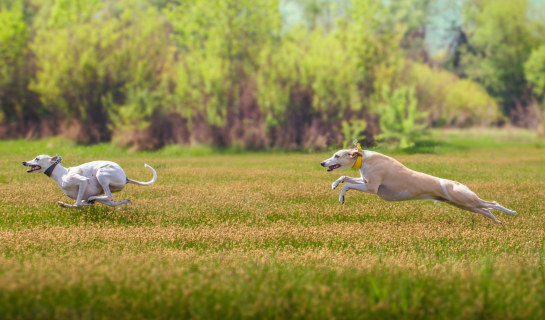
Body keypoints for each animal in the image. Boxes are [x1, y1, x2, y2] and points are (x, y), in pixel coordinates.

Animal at [22, 156, 156, 210]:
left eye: (37, 158)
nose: (24, 162)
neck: (61, 173)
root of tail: (125, 177)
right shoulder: (83, 196)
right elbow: (77, 205)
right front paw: (63, 204)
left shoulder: (83, 181)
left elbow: (77, 203)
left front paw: (87, 204)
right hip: (102, 188)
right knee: (111, 202)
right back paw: (123, 202)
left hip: (101, 174)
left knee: (109, 196)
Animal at [320, 145, 516, 225]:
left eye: (336, 155)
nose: (322, 163)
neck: (364, 159)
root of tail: (456, 183)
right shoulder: (365, 181)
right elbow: (345, 177)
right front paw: (335, 185)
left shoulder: (371, 188)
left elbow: (347, 185)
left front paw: (341, 197)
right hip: (464, 205)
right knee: (487, 211)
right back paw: (498, 222)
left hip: (466, 200)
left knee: (492, 203)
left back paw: (511, 212)